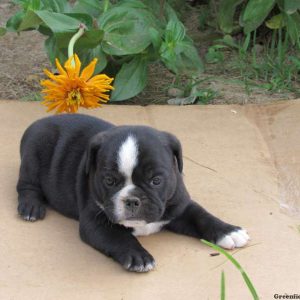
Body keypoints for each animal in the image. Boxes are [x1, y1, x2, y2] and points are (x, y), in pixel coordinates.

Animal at [17, 113, 250, 274]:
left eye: (156, 180)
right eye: (109, 181)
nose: (132, 200)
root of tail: (41, 121)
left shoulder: (180, 205)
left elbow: (202, 216)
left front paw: (229, 231)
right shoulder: (96, 222)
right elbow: (119, 237)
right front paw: (138, 256)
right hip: (34, 152)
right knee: (27, 184)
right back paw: (31, 207)